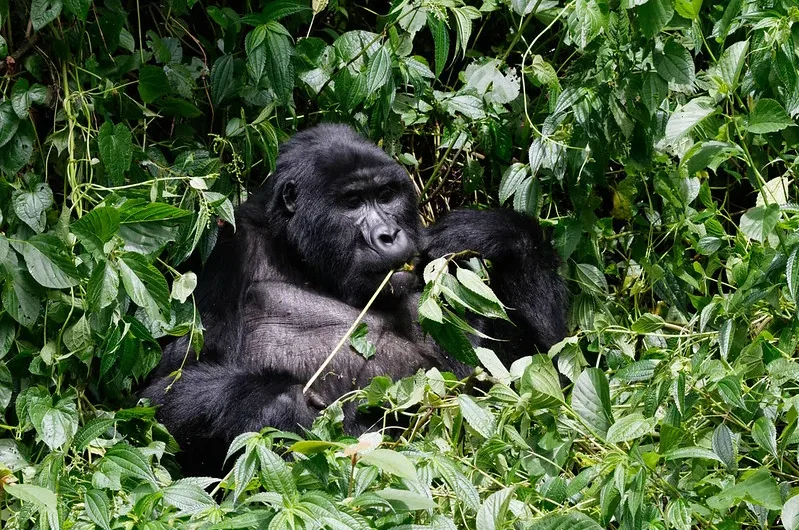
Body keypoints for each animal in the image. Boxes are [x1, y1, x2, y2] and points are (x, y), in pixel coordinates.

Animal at [144, 125, 568, 470]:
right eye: (352, 203)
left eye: (386, 195)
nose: (389, 235)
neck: (300, 257)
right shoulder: (230, 252)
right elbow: (161, 398)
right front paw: (278, 404)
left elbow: (537, 385)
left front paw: (496, 234)